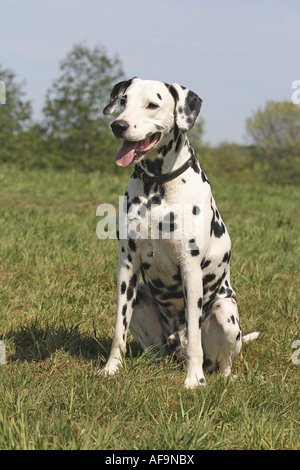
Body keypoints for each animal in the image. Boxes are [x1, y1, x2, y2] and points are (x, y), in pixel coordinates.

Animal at [100, 78, 258, 390]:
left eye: (152, 104)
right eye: (123, 100)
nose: (118, 125)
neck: (157, 186)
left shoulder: (190, 268)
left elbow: (196, 340)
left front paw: (193, 380)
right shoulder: (127, 266)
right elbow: (117, 329)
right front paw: (112, 368)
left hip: (225, 313)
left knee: (222, 361)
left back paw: (222, 376)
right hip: (140, 296)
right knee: (155, 350)